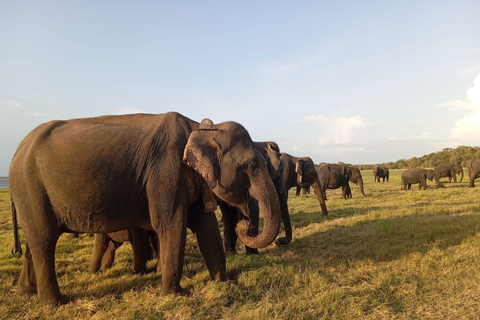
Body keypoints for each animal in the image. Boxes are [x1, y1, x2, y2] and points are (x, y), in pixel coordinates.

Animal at [8, 112, 282, 304]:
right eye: (252, 166)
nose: (244, 226)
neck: (198, 126)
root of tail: (16, 150)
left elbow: (207, 226)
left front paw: (224, 284)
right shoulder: (165, 171)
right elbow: (171, 224)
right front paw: (177, 295)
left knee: (34, 244)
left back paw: (25, 293)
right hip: (31, 189)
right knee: (44, 241)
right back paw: (56, 302)